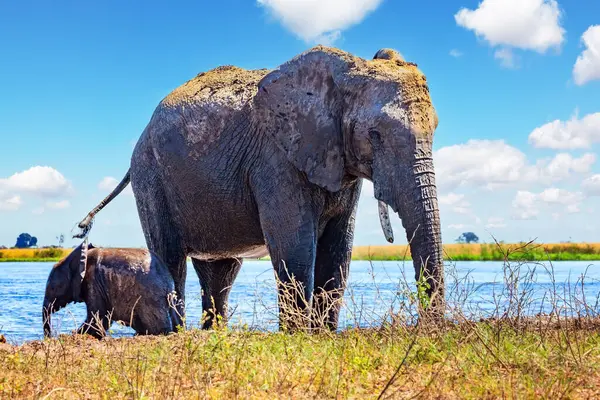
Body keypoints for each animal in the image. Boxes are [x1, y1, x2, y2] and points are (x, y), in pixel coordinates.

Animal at [43, 239, 183, 340]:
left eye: (54, 288)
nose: (49, 338)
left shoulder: (94, 282)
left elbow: (98, 318)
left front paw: (70, 336)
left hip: (150, 299)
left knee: (157, 327)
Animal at [74, 45, 440, 330]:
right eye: (375, 135)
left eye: (435, 128)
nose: (428, 329)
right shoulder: (275, 159)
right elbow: (294, 247)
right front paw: (299, 338)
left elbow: (338, 251)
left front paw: (322, 335)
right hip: (151, 175)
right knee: (169, 258)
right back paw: (175, 332)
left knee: (221, 274)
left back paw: (213, 334)